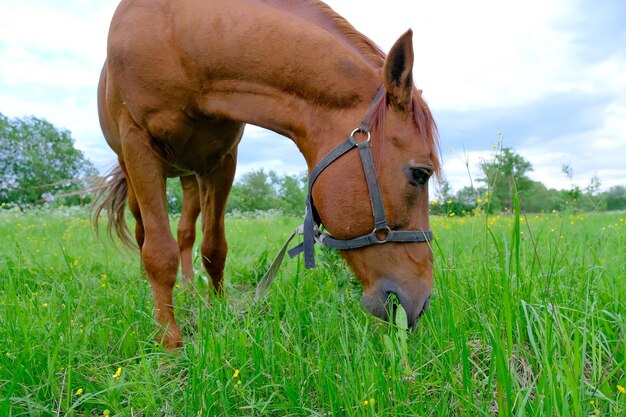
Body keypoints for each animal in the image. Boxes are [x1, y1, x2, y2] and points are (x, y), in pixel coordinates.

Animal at [96, 0, 438, 348]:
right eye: (420, 174)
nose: (422, 302)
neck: (180, 39)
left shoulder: (221, 162)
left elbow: (214, 248)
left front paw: (218, 312)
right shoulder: (140, 145)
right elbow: (159, 254)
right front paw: (169, 343)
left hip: (190, 178)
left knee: (185, 234)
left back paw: (190, 291)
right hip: (133, 170)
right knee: (144, 234)